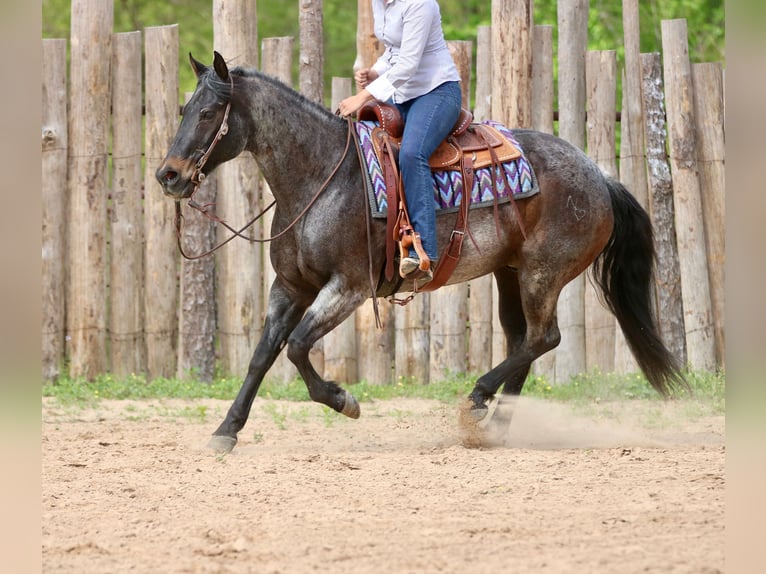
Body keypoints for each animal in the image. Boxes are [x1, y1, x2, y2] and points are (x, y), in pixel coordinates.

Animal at [156, 52, 685, 453]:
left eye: (209, 113)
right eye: (184, 107)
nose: (169, 175)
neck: (322, 175)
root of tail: (600, 176)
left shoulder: (348, 287)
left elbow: (299, 346)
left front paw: (344, 400)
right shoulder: (290, 287)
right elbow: (263, 354)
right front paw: (226, 431)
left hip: (543, 273)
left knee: (544, 338)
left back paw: (477, 399)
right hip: (509, 273)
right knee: (524, 342)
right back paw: (494, 426)